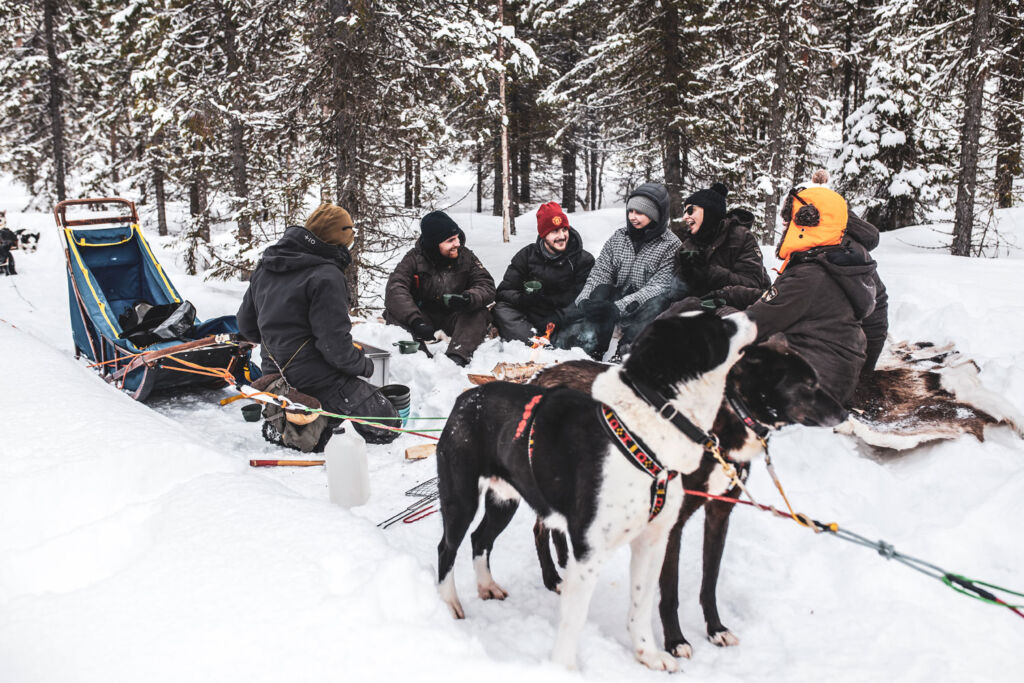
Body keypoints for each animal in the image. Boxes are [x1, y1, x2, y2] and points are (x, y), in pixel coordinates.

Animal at [435, 311, 756, 671]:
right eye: (719, 325)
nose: (749, 314)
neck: (642, 438)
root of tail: (466, 399)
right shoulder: (588, 551)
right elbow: (574, 618)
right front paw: (564, 668)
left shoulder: (653, 542)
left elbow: (642, 604)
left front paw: (647, 653)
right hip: (460, 500)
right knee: (446, 549)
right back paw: (449, 607)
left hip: (504, 501)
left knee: (480, 539)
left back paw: (487, 586)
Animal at [529, 333, 847, 658]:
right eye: (807, 384)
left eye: (816, 379)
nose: (845, 414)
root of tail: (544, 374)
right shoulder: (673, 524)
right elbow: (670, 592)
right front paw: (675, 640)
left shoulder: (720, 514)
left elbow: (710, 582)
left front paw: (716, 629)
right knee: (539, 530)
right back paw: (552, 577)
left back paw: (564, 562)